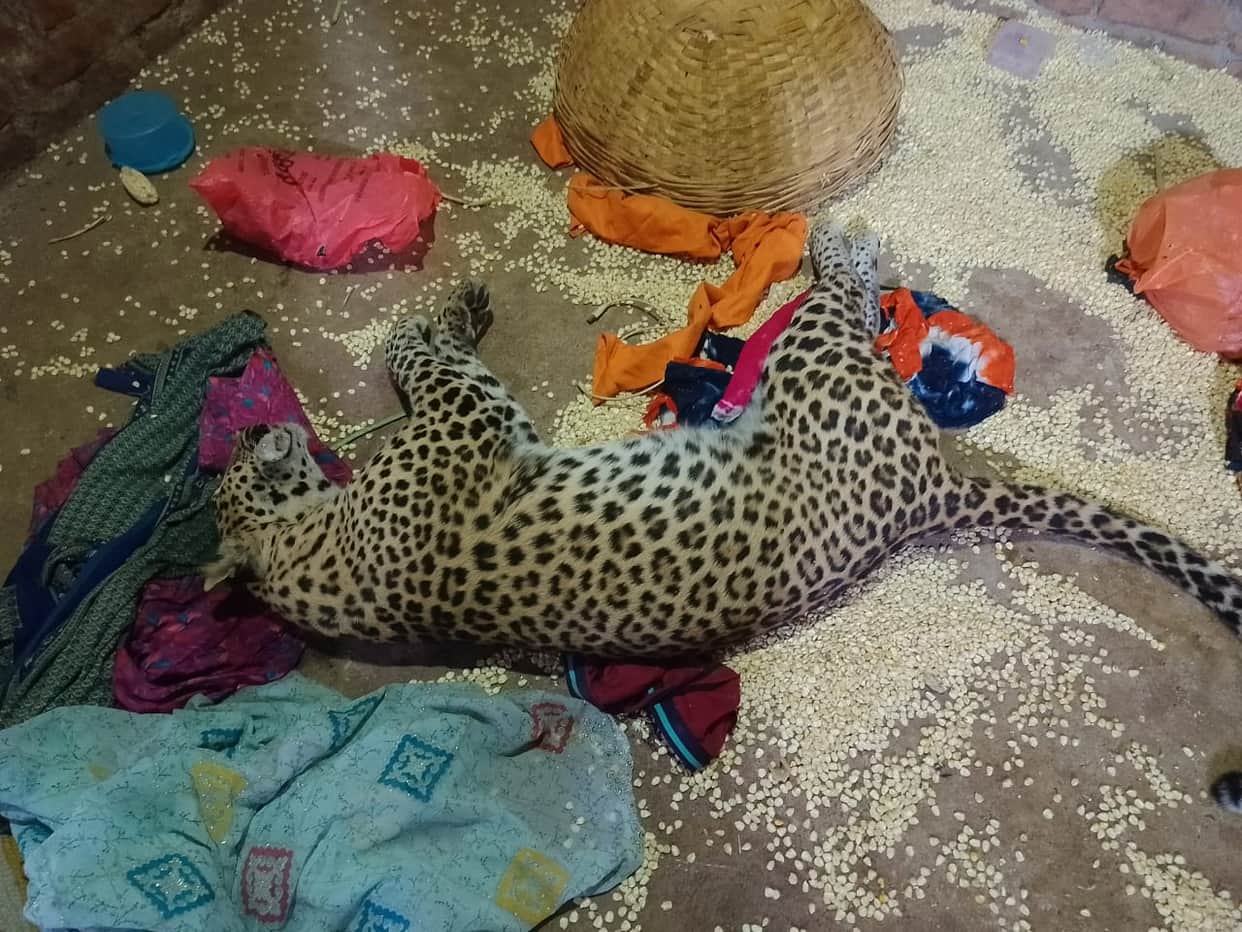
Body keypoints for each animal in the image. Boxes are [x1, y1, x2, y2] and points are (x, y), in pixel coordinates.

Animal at [208, 222, 1242, 807]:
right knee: (841, 296)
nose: (249, 424)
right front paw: (440, 316)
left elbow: (416, 350)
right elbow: (417, 354)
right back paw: (846, 242)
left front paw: (445, 311)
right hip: (813, 360)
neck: (312, 554)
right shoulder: (467, 419)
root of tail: (929, 491)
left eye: (218, 470)